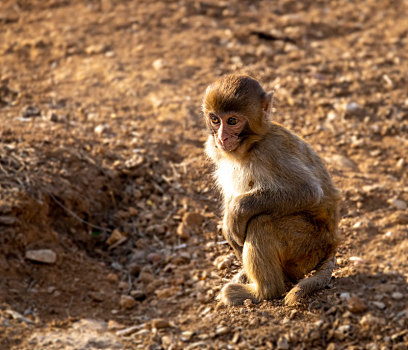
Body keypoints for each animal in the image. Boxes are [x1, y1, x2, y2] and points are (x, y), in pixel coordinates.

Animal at [204, 74, 342, 306]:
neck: (249, 146)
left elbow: (308, 191)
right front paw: (228, 226)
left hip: (307, 246)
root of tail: (331, 245)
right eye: (215, 119)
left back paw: (262, 292)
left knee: (261, 222)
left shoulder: (271, 150)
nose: (222, 138)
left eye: (232, 121)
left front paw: (236, 212)